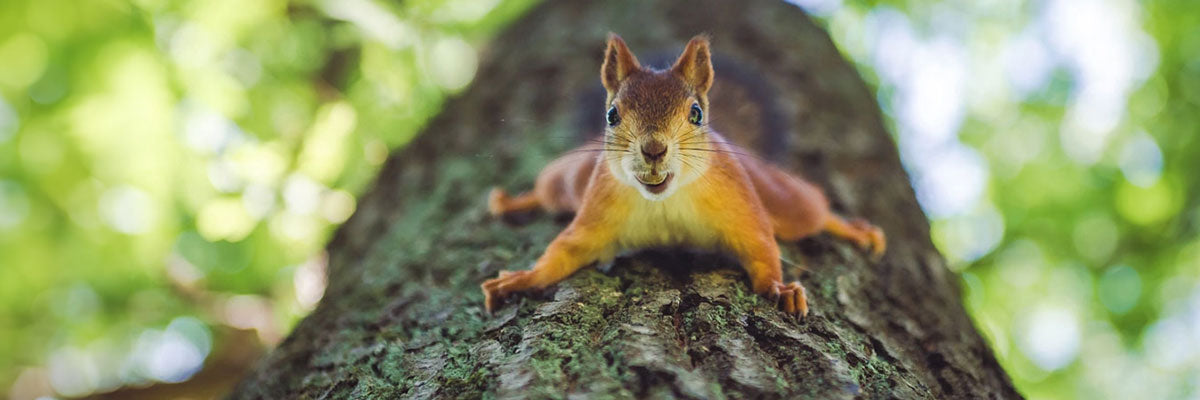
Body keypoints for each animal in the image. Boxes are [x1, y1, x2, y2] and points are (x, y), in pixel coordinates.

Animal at [482, 33, 886, 317]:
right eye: (612, 114)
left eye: (696, 113)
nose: (653, 149)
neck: (664, 199)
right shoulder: (597, 209)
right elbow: (565, 251)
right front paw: (520, 280)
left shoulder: (740, 204)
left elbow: (761, 246)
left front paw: (780, 288)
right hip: (568, 178)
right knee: (546, 191)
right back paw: (511, 202)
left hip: (781, 198)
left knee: (813, 213)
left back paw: (857, 231)